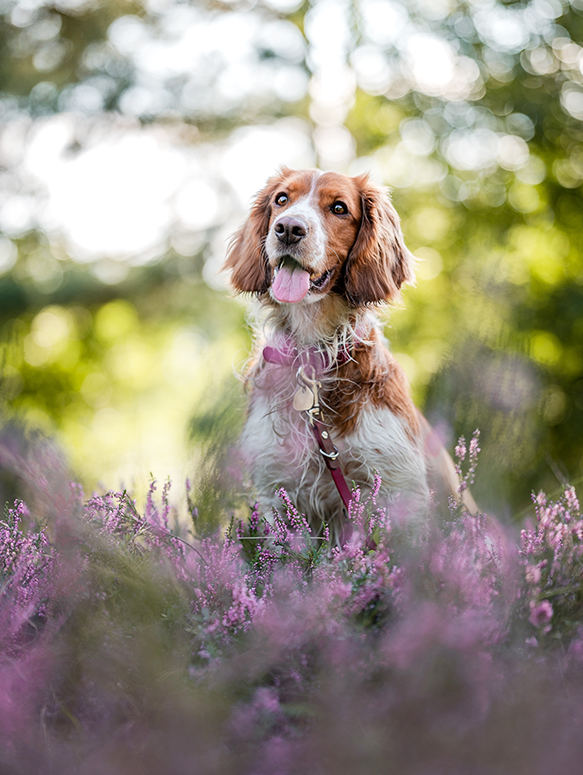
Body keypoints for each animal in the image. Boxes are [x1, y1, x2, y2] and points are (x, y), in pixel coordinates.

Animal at [224, 167, 470, 536]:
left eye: (339, 208)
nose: (288, 228)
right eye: (281, 199)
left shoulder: (399, 487)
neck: (314, 354)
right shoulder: (276, 491)